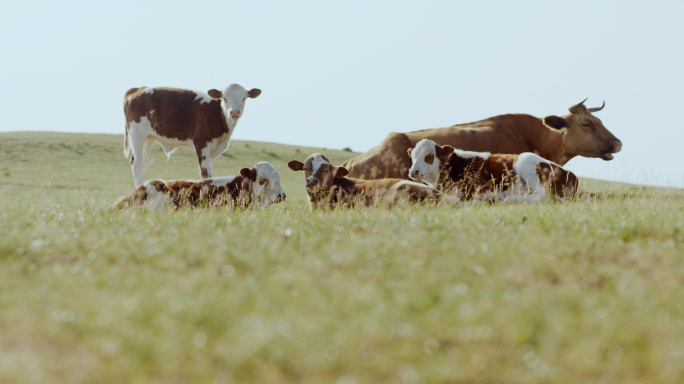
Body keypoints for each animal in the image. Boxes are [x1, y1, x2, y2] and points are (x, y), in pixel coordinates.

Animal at [123, 83, 262, 186]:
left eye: (244, 98)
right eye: (224, 99)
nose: (234, 112)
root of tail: (137, 89)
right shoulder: (201, 143)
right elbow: (205, 174)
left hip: (148, 138)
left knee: (142, 164)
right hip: (137, 135)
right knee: (137, 164)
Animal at [408, 139, 580, 204]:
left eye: (429, 156)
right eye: (412, 156)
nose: (413, 171)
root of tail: (569, 173)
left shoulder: (475, 188)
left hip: (527, 163)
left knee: (541, 195)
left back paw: (508, 199)